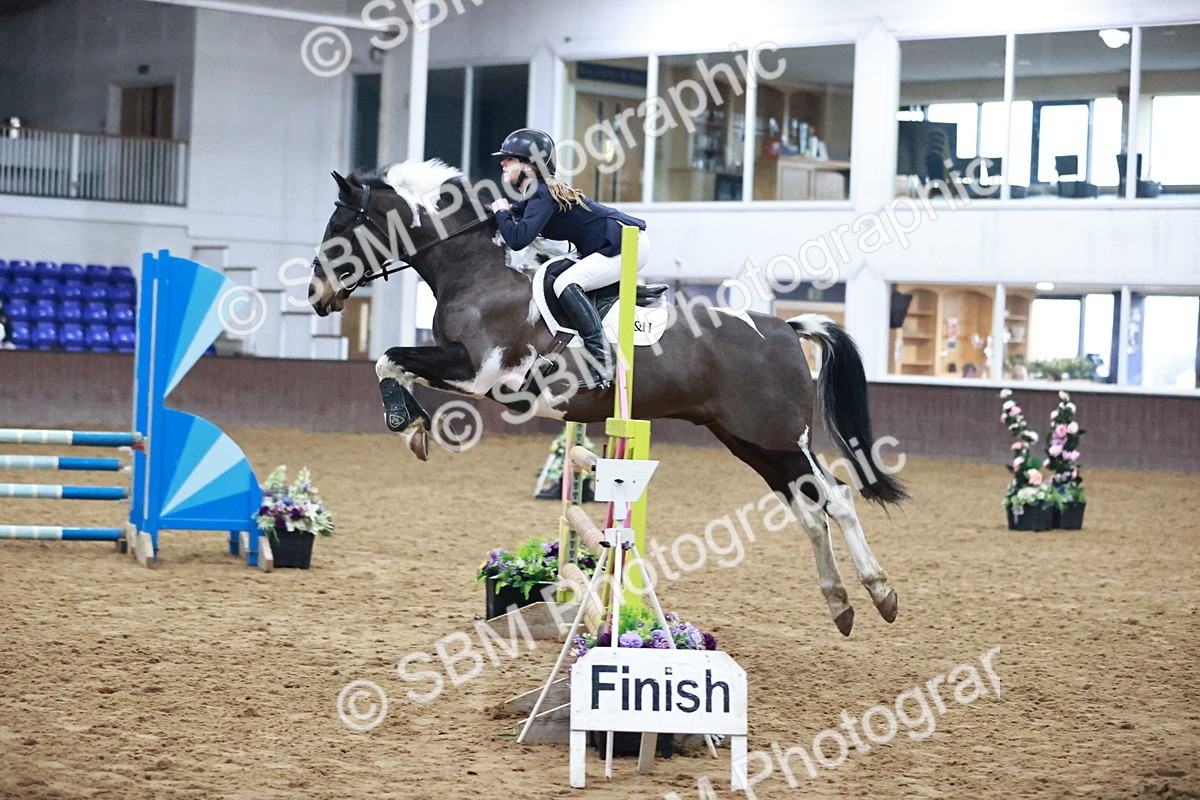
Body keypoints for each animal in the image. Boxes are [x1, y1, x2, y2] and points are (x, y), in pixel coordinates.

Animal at [307, 159, 907, 636]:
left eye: (339, 228)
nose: (316, 295)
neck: (476, 269)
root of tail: (785, 329)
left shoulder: (481, 374)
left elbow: (389, 357)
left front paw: (407, 425)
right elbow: (392, 361)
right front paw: (412, 425)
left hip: (778, 435)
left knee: (836, 500)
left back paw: (881, 593)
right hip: (749, 442)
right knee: (808, 510)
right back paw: (841, 606)